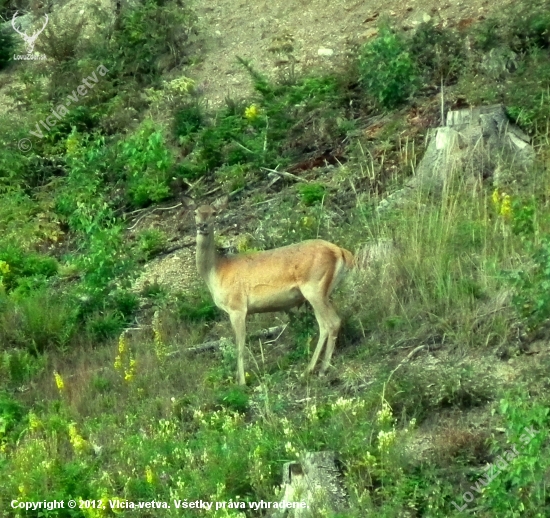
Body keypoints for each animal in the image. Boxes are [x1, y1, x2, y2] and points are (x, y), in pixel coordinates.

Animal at [194, 202, 356, 386]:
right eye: (195, 212)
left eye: (214, 213)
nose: (202, 226)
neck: (217, 272)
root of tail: (340, 251)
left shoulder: (237, 306)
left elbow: (240, 345)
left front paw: (241, 383)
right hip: (321, 292)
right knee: (324, 325)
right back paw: (309, 370)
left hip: (314, 286)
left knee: (333, 322)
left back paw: (322, 369)